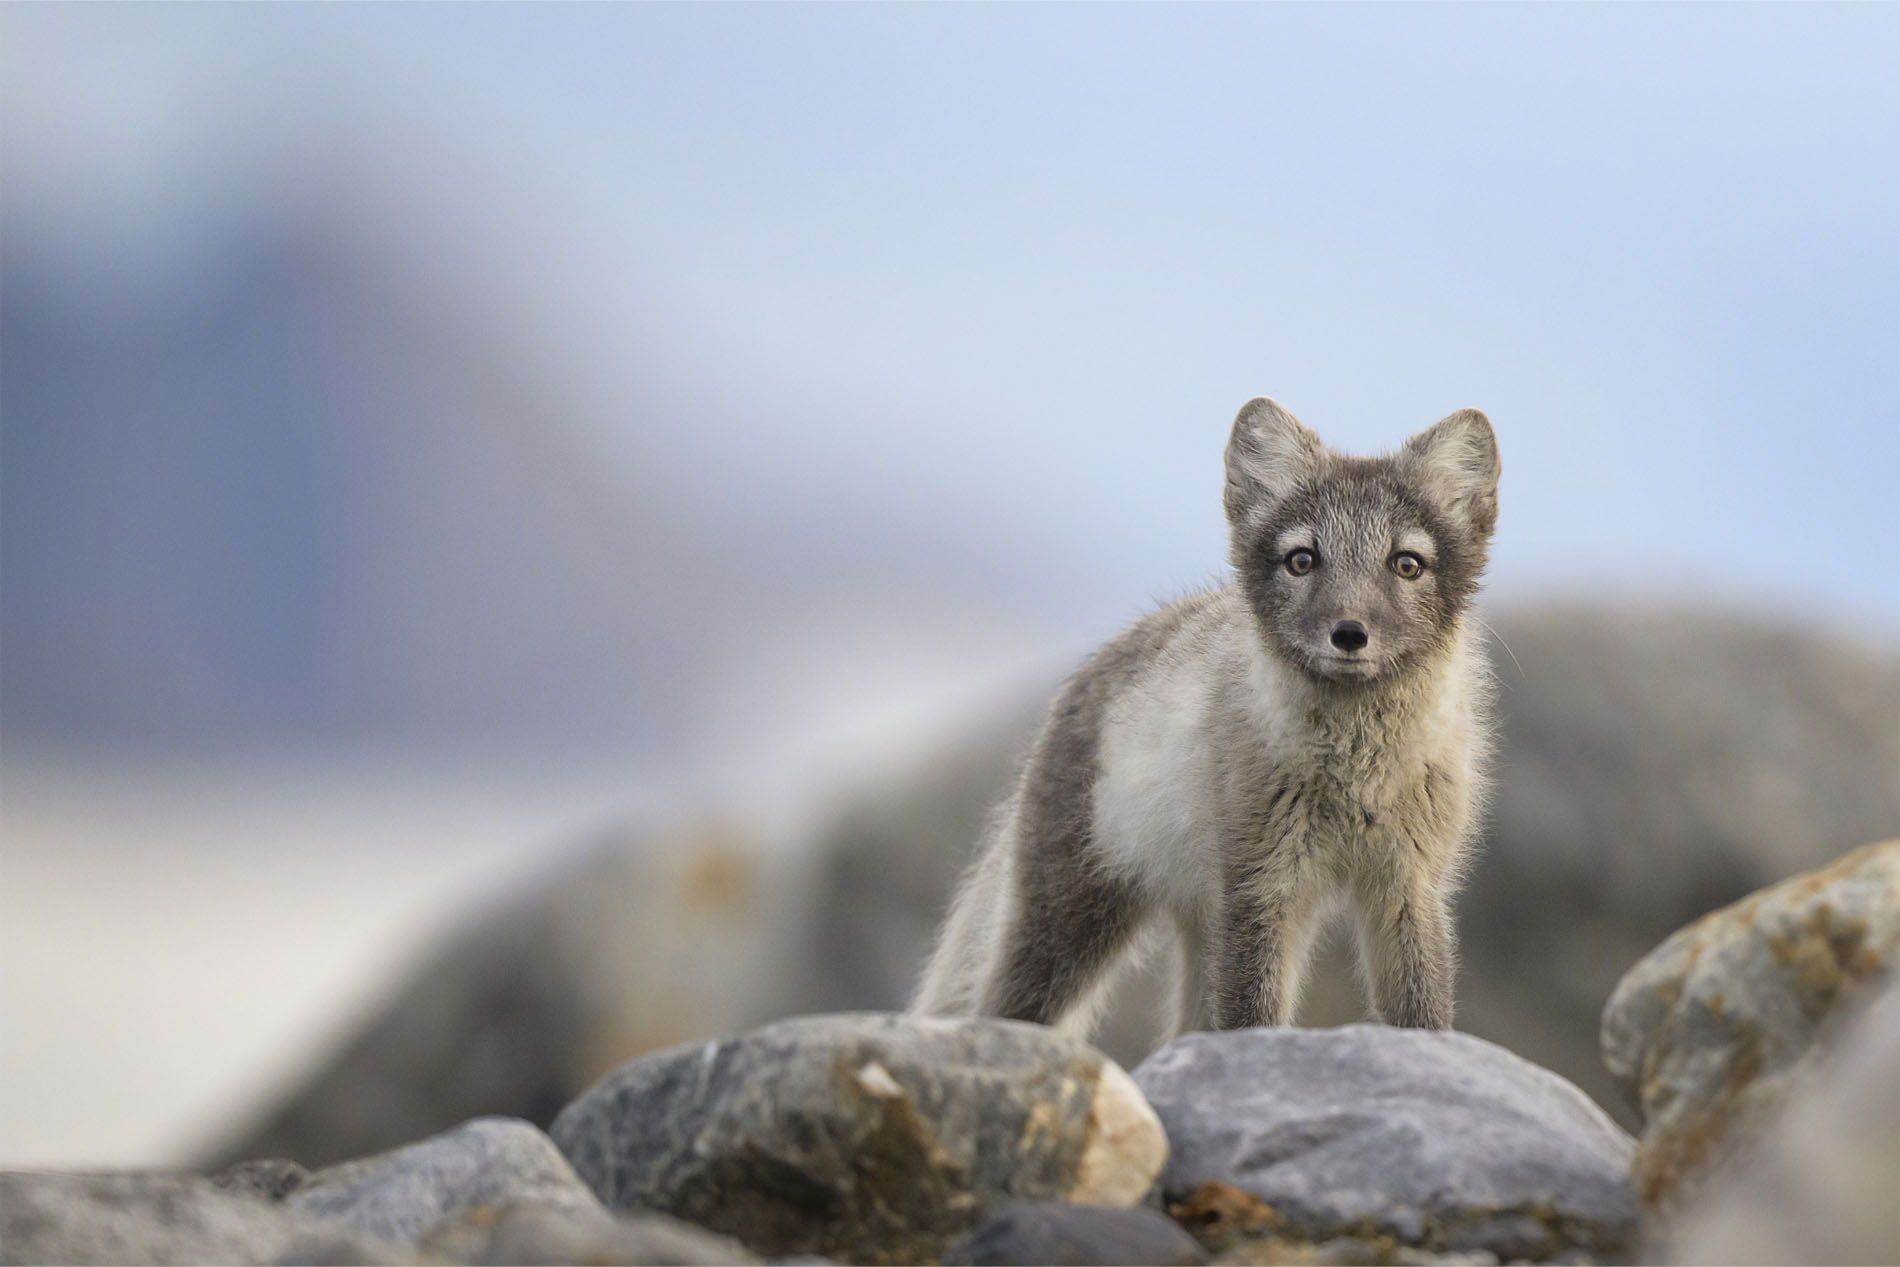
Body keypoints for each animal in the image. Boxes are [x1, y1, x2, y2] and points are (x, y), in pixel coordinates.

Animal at [911, 397, 1500, 1039]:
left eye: (1406, 564)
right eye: (1302, 560)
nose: (1349, 634)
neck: (1355, 768)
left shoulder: (1410, 886)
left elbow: (1423, 1014)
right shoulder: (1258, 885)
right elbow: (1251, 1019)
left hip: (1204, 927)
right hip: (1068, 919)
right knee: (1001, 1009)